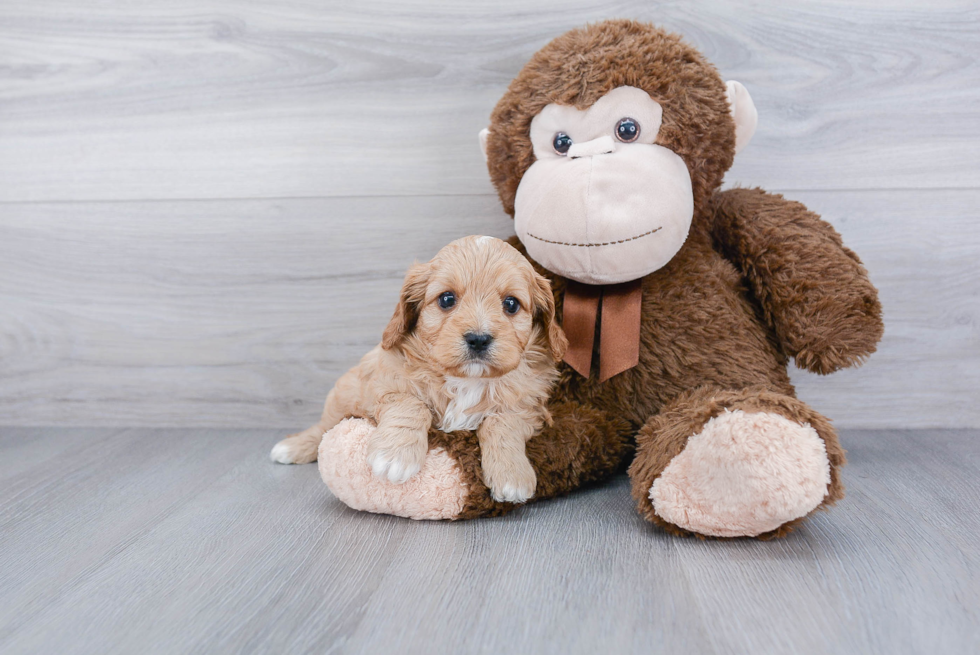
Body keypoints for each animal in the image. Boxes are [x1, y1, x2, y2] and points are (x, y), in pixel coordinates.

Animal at [272, 238, 572, 504]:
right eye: (447, 299)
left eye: (511, 304)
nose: (478, 339)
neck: (467, 380)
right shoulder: (386, 383)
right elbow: (411, 404)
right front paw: (395, 456)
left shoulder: (527, 405)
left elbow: (502, 423)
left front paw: (512, 474)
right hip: (345, 392)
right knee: (324, 427)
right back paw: (293, 446)